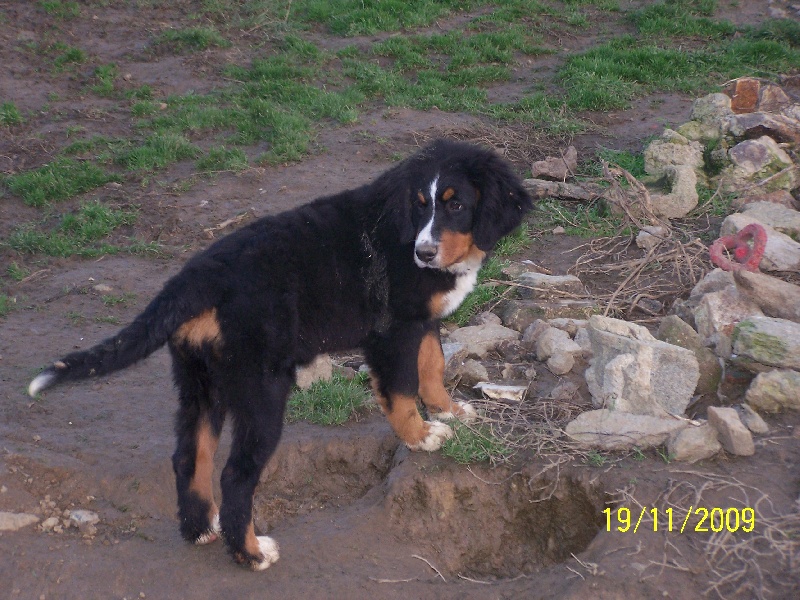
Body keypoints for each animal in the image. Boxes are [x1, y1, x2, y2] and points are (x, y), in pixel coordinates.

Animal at [27, 139, 532, 570]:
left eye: (456, 205)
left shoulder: (422, 321)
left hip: (202, 382)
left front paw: (448, 411)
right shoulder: (393, 330)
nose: (424, 253)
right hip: (261, 390)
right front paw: (420, 435)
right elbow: (402, 388)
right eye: (421, 206)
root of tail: (196, 278)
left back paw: (200, 529)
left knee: (190, 456)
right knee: (235, 476)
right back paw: (250, 553)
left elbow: (432, 364)